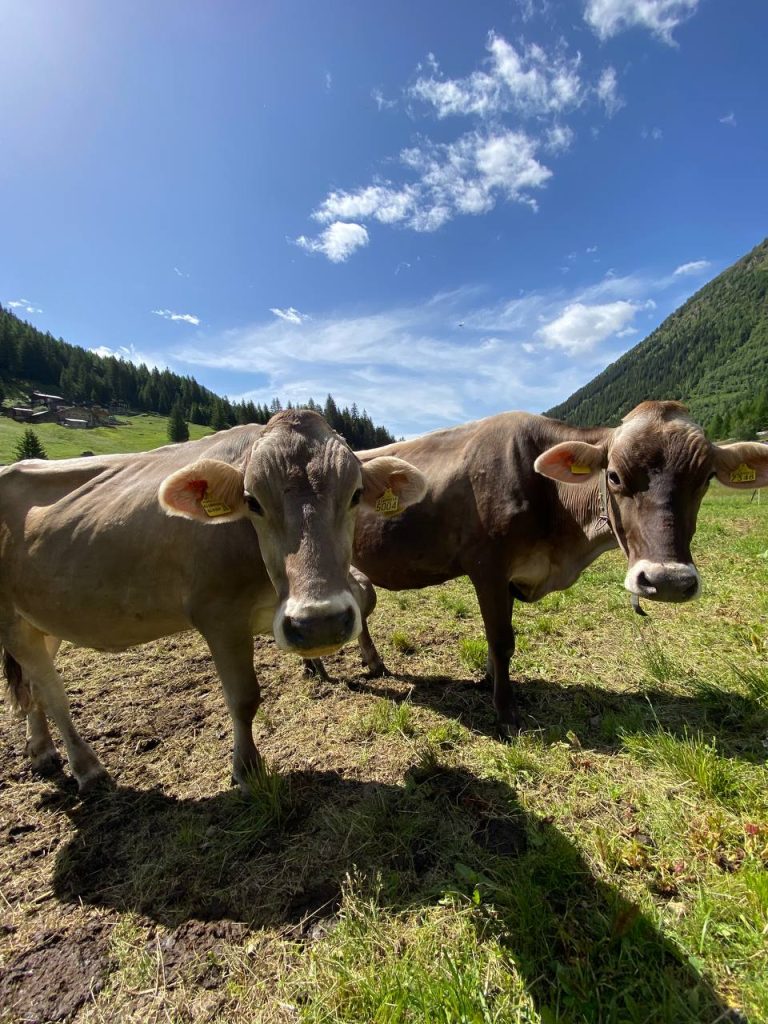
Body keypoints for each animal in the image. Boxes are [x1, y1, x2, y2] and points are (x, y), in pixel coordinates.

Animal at [0, 409, 428, 790]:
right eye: (252, 500)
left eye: (356, 495)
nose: (319, 623)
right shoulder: (218, 616)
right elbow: (243, 698)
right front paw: (247, 770)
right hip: (10, 621)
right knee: (52, 692)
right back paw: (87, 768)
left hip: (42, 618)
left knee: (34, 686)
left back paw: (41, 750)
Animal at [352, 399, 768, 729]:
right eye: (614, 475)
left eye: (706, 478)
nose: (667, 581)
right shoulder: (487, 566)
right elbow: (502, 641)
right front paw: (505, 712)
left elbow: (496, 643)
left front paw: (489, 681)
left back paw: (373, 663)